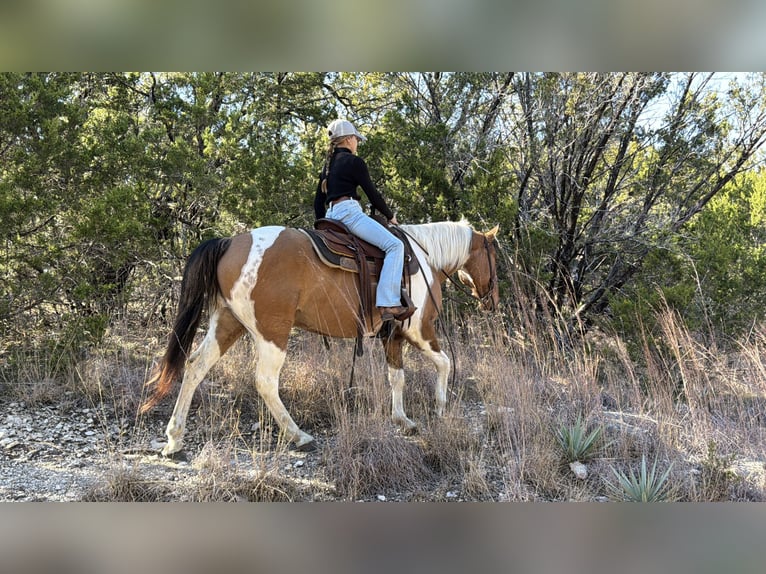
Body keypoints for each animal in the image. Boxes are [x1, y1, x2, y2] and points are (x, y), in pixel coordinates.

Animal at [141, 220, 500, 456]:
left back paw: (174, 439)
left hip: (227, 323)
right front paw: (440, 407)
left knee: (195, 367)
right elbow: (445, 363)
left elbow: (397, 377)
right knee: (265, 382)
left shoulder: (393, 336)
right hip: (272, 333)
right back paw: (299, 436)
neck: (424, 258)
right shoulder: (420, 330)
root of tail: (230, 242)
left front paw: (402, 419)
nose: (492, 300)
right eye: (495, 257)